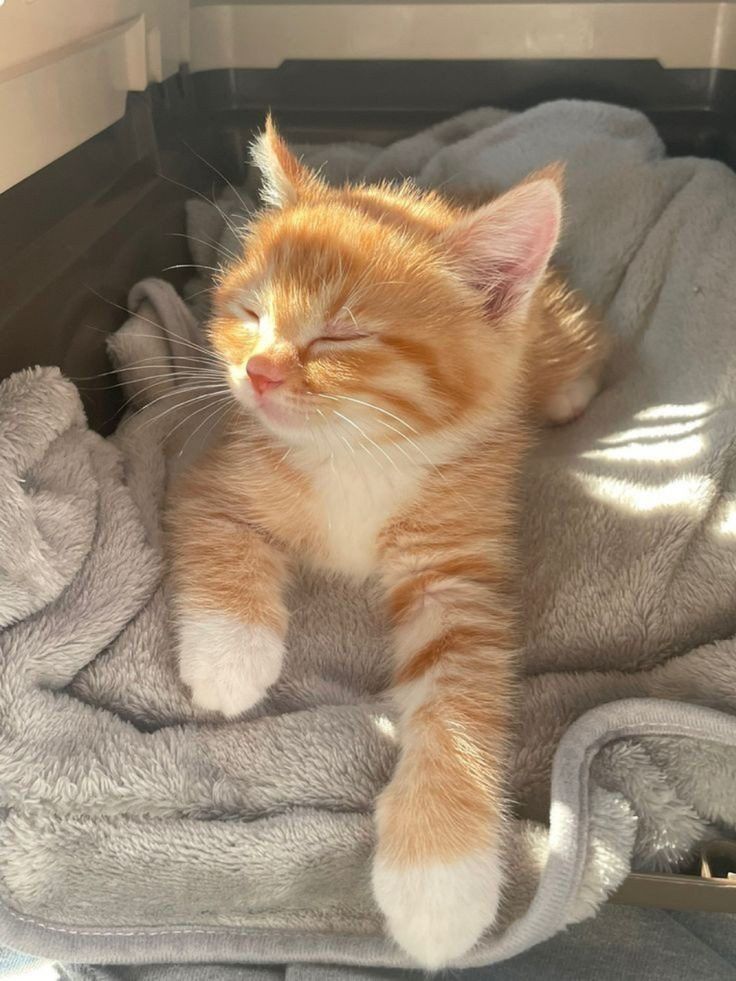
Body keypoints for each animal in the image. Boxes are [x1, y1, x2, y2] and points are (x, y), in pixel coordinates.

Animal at [167, 118, 604, 968]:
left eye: (341, 332)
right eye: (252, 313)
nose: (258, 371)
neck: (357, 453)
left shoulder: (461, 571)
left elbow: (461, 697)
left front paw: (441, 874)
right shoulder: (213, 476)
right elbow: (225, 538)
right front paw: (231, 656)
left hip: (550, 331)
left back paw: (569, 390)